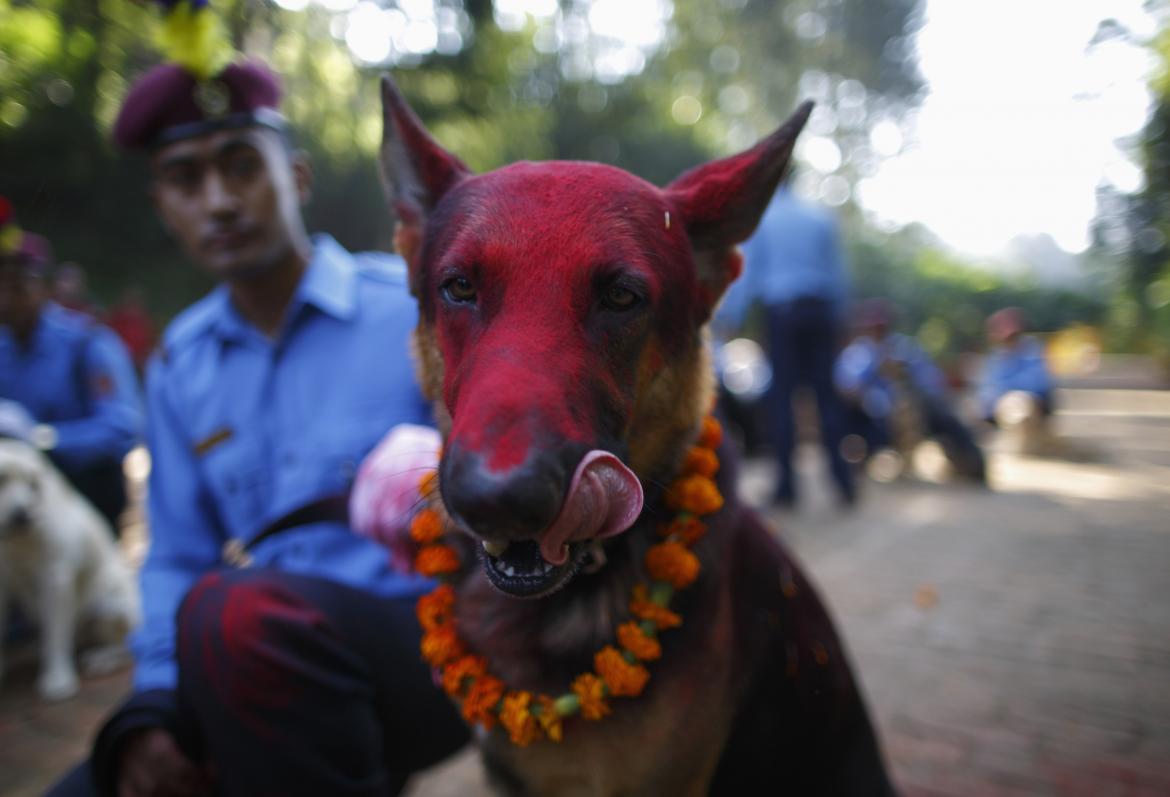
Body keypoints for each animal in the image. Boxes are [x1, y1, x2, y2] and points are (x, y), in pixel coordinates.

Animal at [0, 437, 140, 697]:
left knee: (127, 648)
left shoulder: (55, 578)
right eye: (1, 479)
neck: (15, 543)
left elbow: (56, 636)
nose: (22, 515)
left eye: (32, 484)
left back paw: (104, 658)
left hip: (110, 604)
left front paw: (57, 678)